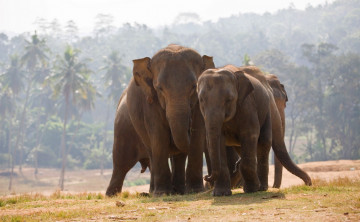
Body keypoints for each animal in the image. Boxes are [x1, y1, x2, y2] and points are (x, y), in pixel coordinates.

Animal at [105, 44, 215, 196]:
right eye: (159, 88)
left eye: (194, 86)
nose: (207, 177)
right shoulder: (150, 102)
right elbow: (159, 136)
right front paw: (163, 193)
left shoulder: (199, 103)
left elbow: (196, 137)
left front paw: (195, 191)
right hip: (123, 129)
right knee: (122, 162)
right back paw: (113, 195)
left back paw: (176, 191)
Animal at [197, 64, 312, 196]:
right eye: (201, 100)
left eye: (229, 99)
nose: (206, 176)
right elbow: (218, 139)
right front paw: (221, 194)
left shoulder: (248, 105)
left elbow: (250, 134)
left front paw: (251, 190)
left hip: (266, 111)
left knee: (264, 142)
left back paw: (260, 187)